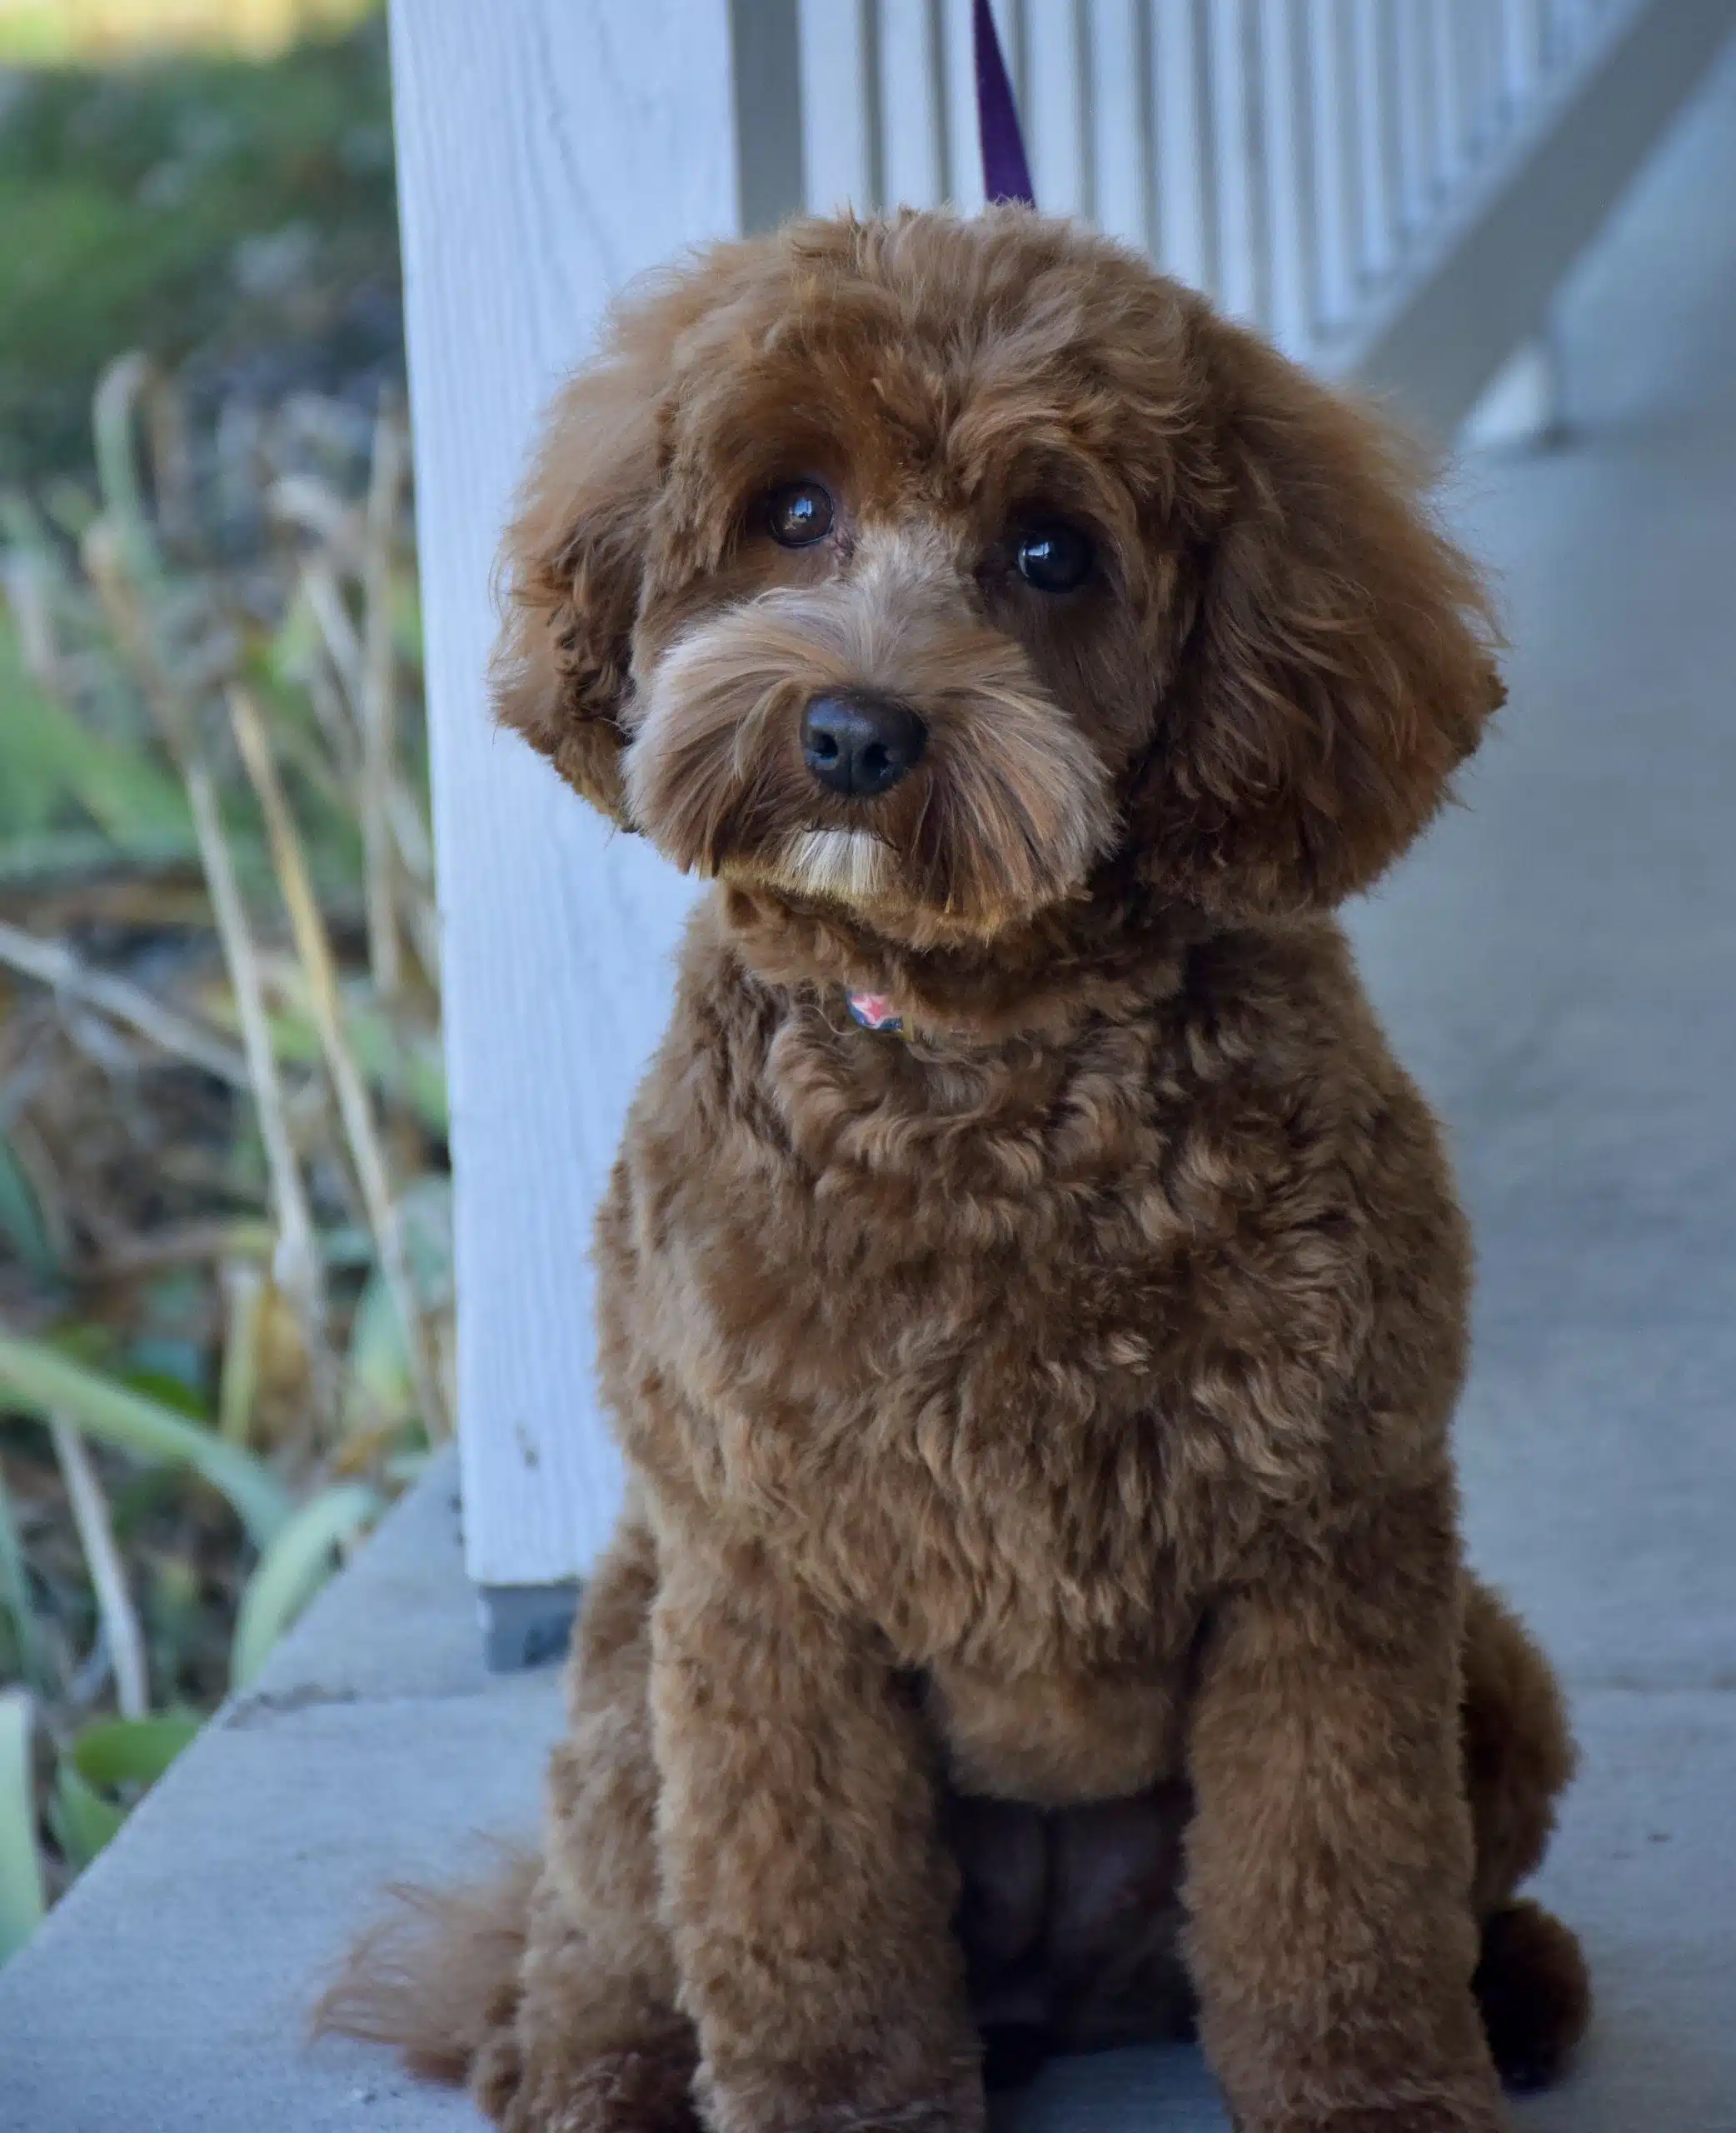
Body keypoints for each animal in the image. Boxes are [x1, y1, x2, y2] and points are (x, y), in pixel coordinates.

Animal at [320, 212, 1595, 2133]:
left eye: (1051, 551)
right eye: (790, 510)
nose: (852, 732)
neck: (976, 1072)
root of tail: (1065, 1992)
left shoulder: (1330, 1546)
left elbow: (1340, 1897)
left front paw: (1381, 2093)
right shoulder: (771, 1590)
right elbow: (809, 1938)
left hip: (1488, 1664)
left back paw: (1513, 1987)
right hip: (631, 1673)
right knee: (595, 1941)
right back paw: (589, 2074)